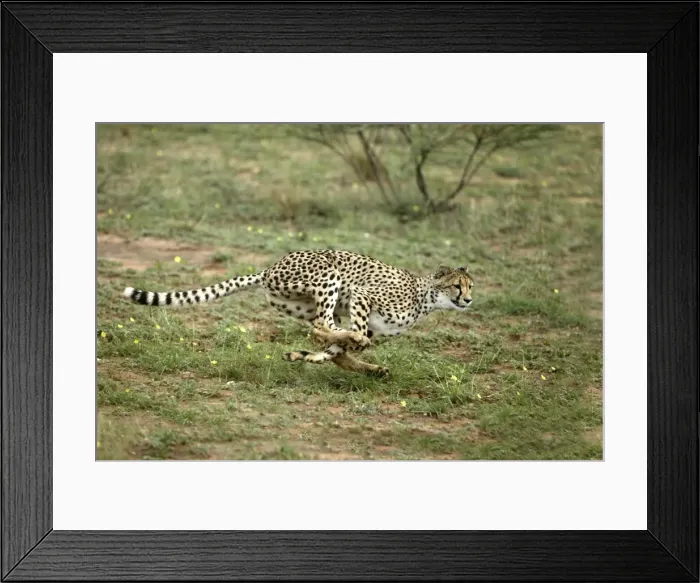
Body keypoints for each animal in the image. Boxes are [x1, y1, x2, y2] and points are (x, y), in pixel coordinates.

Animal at [122, 249, 474, 377]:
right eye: (457, 286)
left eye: (471, 286)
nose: (469, 300)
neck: (426, 296)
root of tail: (268, 268)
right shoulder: (362, 295)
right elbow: (353, 334)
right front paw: (354, 347)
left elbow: (336, 351)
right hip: (330, 276)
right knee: (321, 325)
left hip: (303, 300)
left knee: (322, 330)